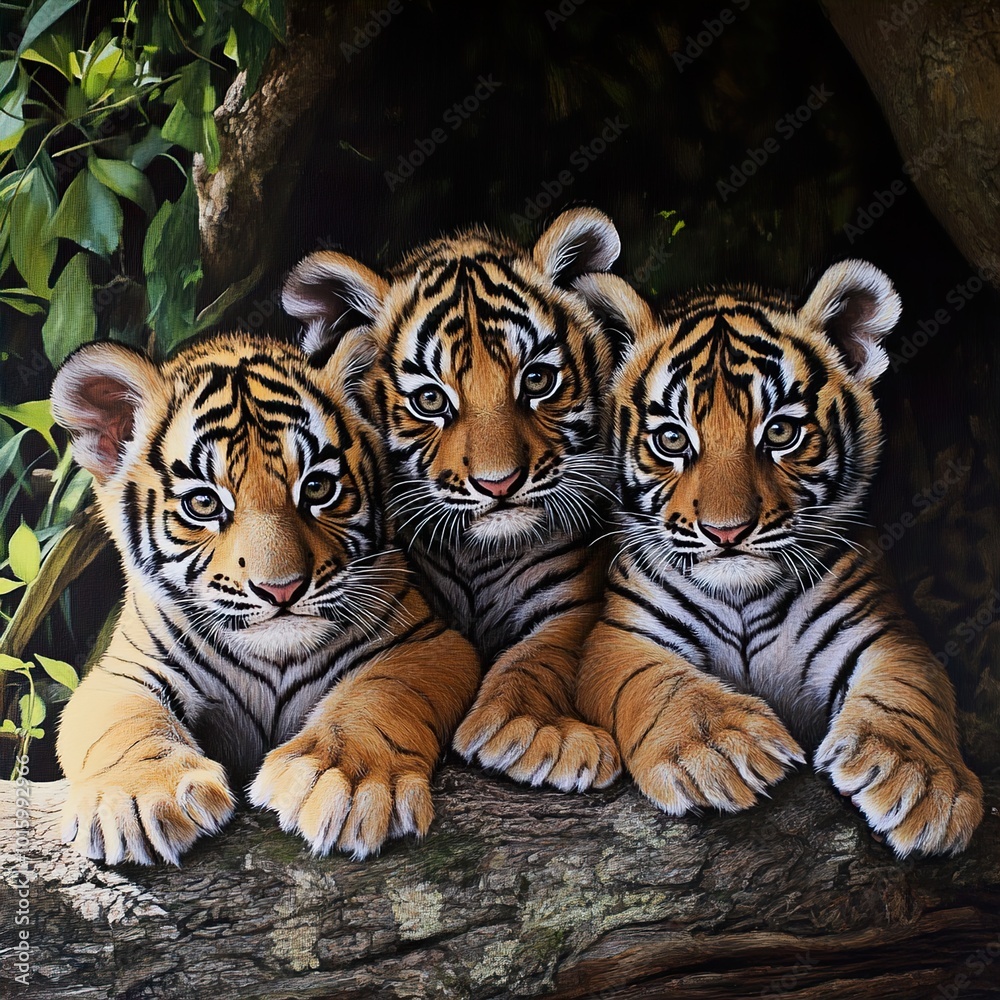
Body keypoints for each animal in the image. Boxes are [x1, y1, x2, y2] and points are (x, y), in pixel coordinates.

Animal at [50, 332, 481, 864]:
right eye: (203, 503)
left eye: (317, 487)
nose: (282, 589)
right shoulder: (124, 671)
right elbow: (124, 725)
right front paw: (139, 796)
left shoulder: (428, 642)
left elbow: (378, 697)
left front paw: (343, 782)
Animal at [282, 207, 623, 792]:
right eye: (429, 399)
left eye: (537, 379)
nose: (499, 483)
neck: (481, 555)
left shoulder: (576, 595)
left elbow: (547, 652)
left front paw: (534, 729)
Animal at [571, 260, 984, 856]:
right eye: (671, 439)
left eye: (781, 432)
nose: (726, 531)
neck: (743, 594)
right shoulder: (618, 636)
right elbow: (658, 680)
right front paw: (717, 749)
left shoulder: (882, 629)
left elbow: (908, 690)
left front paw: (923, 783)